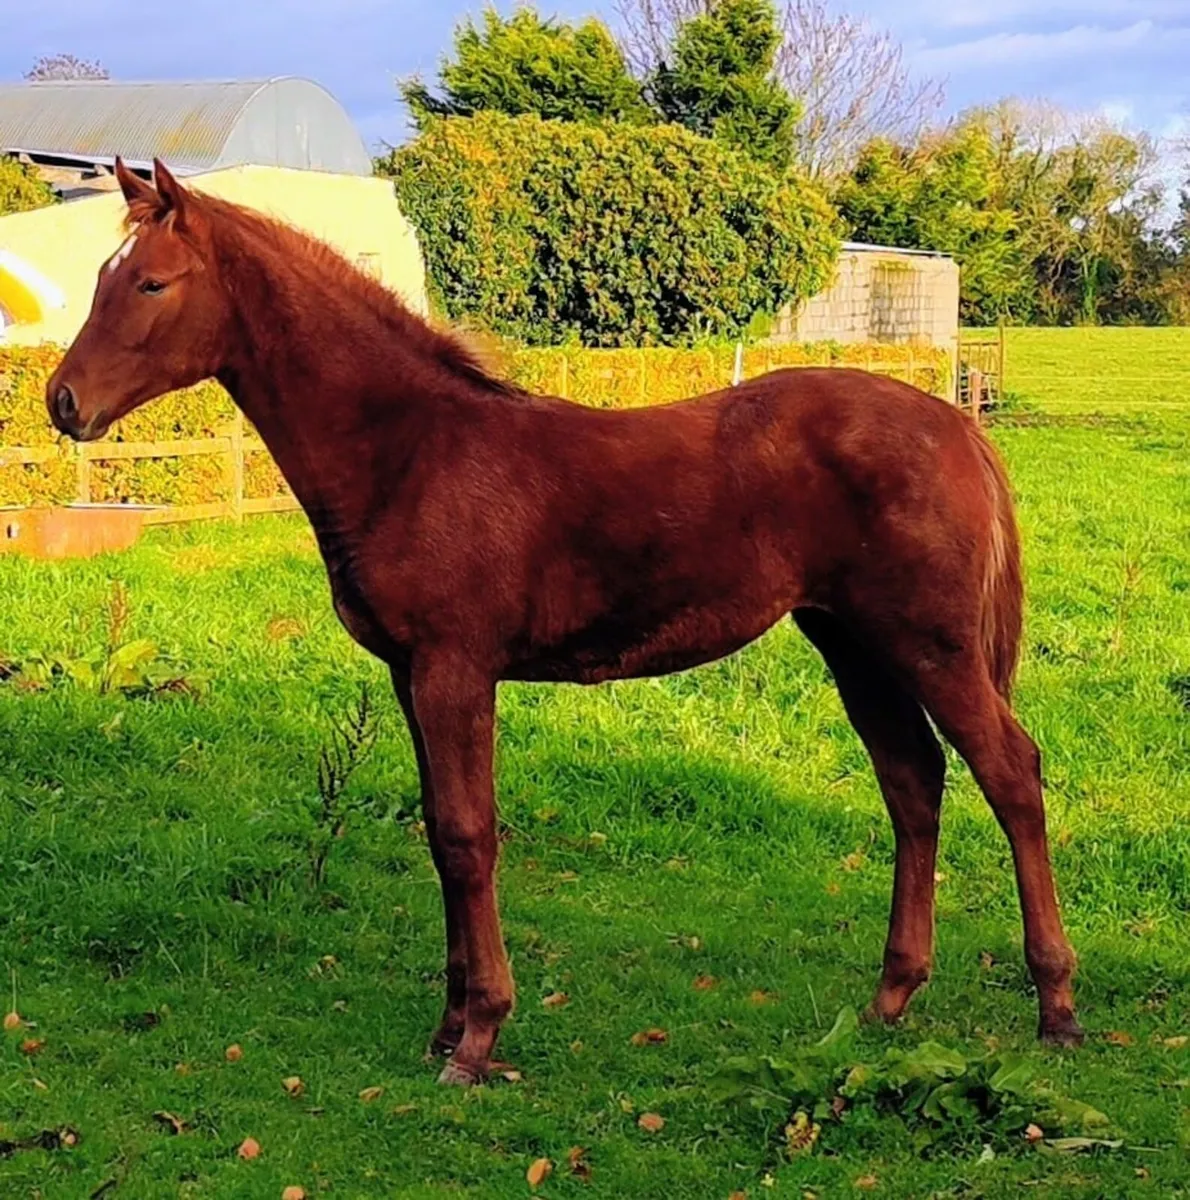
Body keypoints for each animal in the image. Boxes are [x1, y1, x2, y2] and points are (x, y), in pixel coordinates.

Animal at [47, 158, 1082, 1085]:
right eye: (101, 277)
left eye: (151, 281)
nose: (62, 402)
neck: (413, 452)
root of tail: (958, 423)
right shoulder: (408, 672)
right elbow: (438, 831)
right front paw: (446, 1023)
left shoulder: (455, 668)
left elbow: (471, 836)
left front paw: (478, 1039)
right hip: (854, 645)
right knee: (913, 782)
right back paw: (890, 998)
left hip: (931, 647)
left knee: (1010, 774)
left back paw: (1056, 1007)